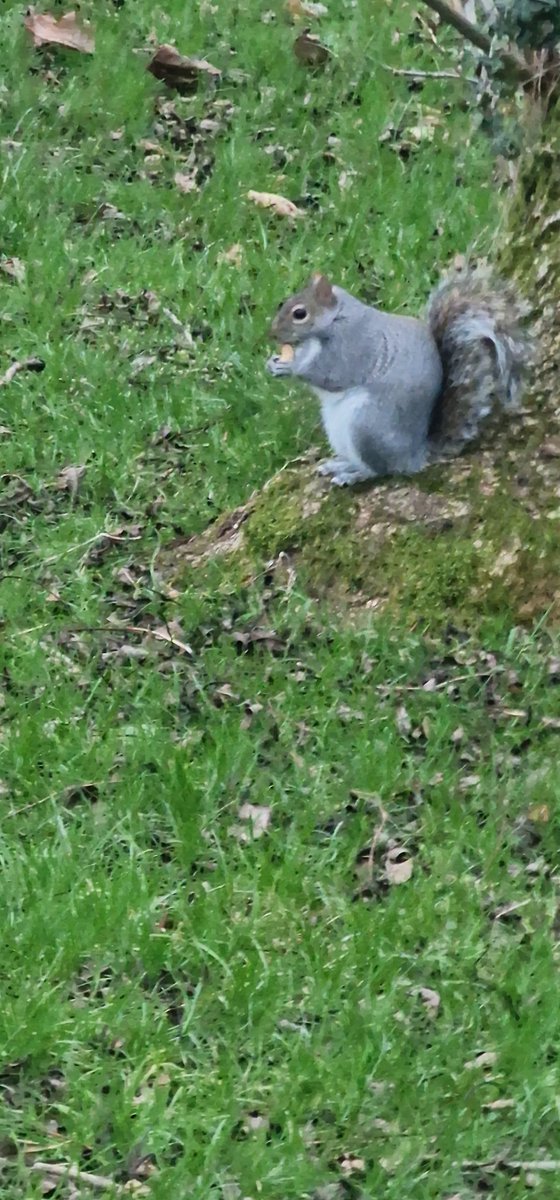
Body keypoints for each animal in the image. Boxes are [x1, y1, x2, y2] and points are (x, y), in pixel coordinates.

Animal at [266, 267, 530, 486]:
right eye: (283, 303)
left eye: (300, 313)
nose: (272, 333)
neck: (336, 317)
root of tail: (414, 456)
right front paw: (274, 362)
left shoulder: (353, 345)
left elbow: (331, 373)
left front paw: (290, 368)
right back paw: (341, 464)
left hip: (367, 426)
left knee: (381, 470)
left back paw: (353, 475)